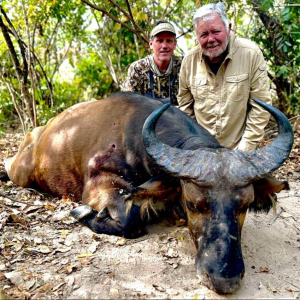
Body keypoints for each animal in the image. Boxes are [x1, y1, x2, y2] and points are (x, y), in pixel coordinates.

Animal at [2, 92, 292, 294]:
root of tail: (39, 134)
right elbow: (130, 220)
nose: (224, 278)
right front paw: (82, 213)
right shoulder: (100, 182)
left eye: (246, 204)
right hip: (22, 173)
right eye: (192, 203)